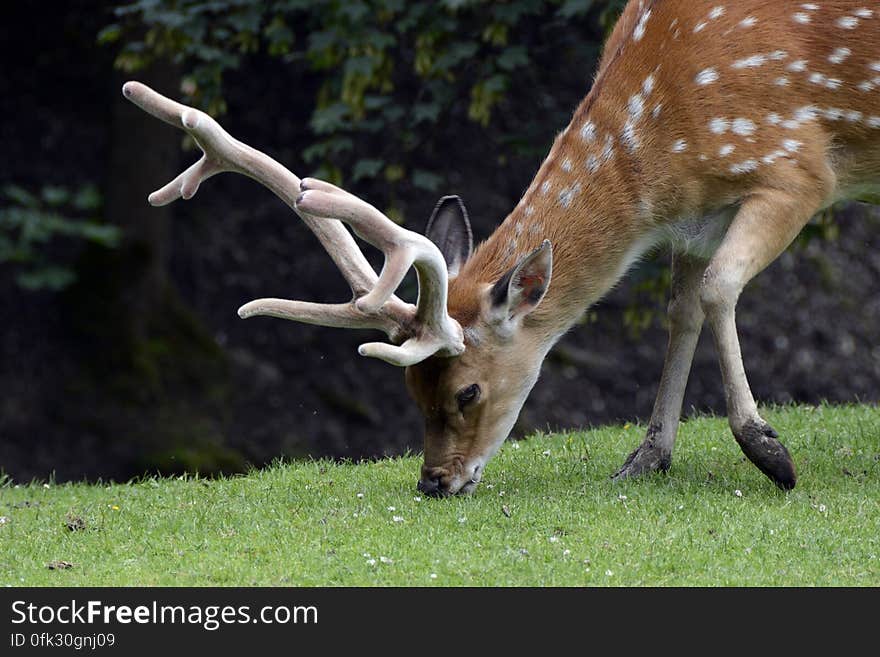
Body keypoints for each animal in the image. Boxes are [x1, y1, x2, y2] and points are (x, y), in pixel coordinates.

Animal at [122, 0, 880, 492]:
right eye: (410, 387)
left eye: (468, 390)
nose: (433, 481)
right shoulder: (697, 218)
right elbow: (682, 310)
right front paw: (646, 458)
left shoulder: (797, 166)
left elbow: (721, 287)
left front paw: (769, 452)